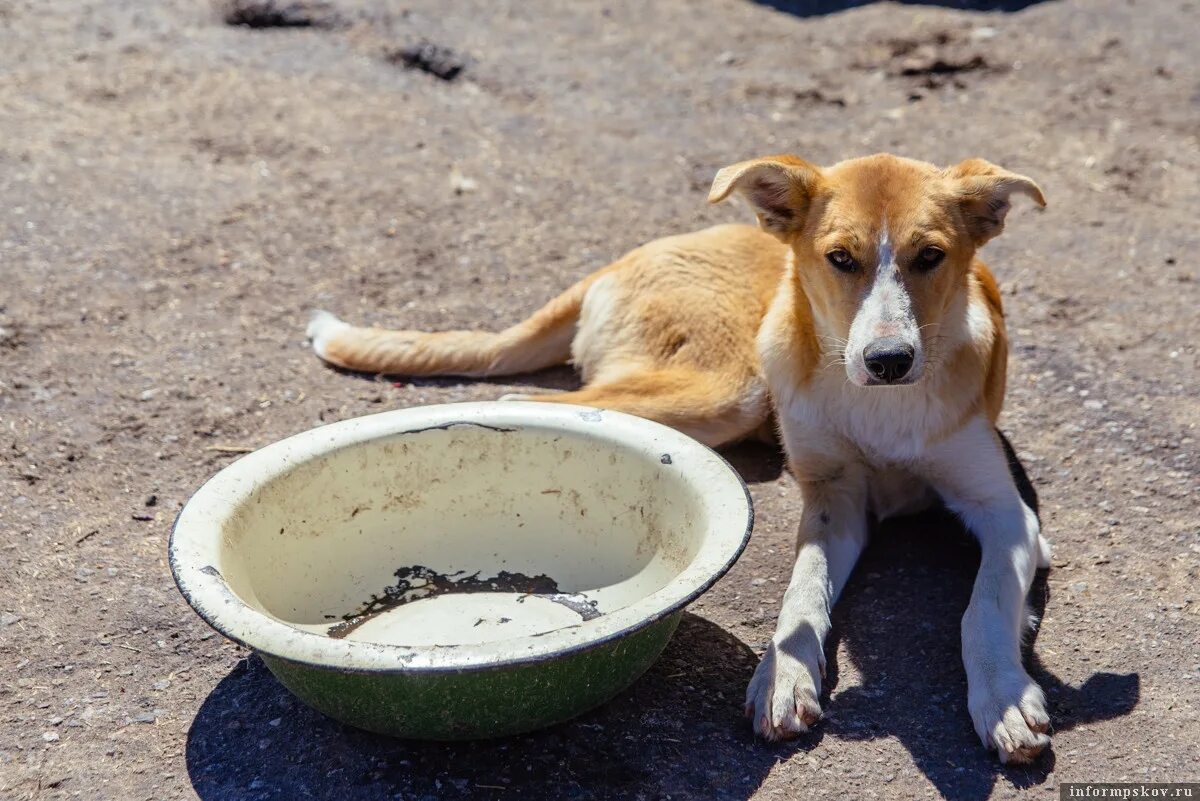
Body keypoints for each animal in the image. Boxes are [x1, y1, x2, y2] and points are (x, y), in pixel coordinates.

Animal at [307, 151, 1051, 762]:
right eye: (842, 259)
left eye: (931, 257)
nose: (888, 360)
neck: (883, 407)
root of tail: (619, 261)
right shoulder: (832, 499)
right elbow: (801, 591)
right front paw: (783, 674)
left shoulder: (1006, 512)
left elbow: (982, 604)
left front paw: (1003, 695)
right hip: (731, 386)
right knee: (526, 400)